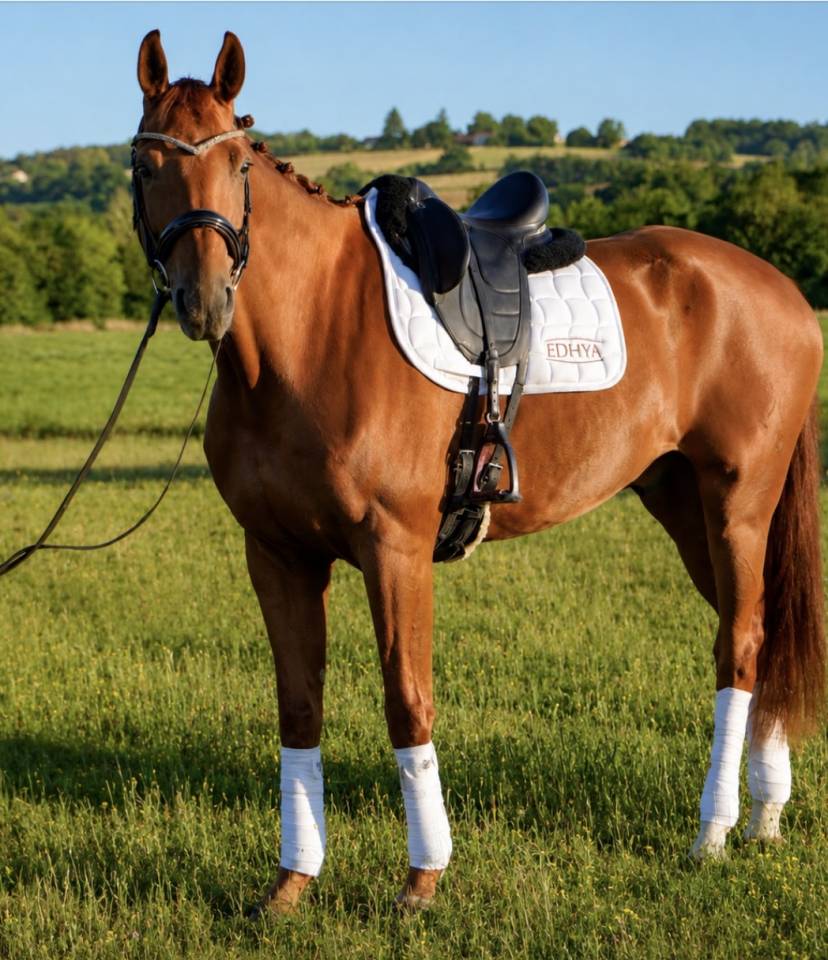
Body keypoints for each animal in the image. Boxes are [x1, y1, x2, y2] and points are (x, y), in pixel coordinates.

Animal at [132, 30, 824, 912]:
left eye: (237, 164)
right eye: (147, 163)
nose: (204, 300)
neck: (312, 331)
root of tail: (782, 290)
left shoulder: (394, 550)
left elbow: (407, 700)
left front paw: (422, 878)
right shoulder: (278, 556)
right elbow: (299, 708)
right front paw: (291, 882)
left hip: (739, 505)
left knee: (738, 647)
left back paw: (714, 833)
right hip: (685, 507)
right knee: (762, 638)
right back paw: (765, 817)